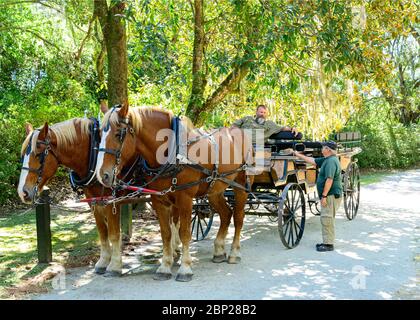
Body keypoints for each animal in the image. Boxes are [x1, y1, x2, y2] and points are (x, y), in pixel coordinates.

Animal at [16, 119, 133, 276]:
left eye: (39, 154)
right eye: (23, 154)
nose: (22, 192)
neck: (94, 152)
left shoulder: (111, 200)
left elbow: (114, 233)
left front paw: (114, 265)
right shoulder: (94, 201)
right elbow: (102, 232)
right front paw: (103, 262)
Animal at [95, 104, 253, 280]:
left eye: (118, 134)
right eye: (99, 134)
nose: (102, 175)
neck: (172, 152)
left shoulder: (185, 198)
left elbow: (184, 232)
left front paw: (185, 267)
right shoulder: (159, 199)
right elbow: (166, 233)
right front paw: (165, 266)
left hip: (241, 186)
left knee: (238, 218)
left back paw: (234, 253)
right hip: (215, 190)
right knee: (226, 214)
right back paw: (219, 250)